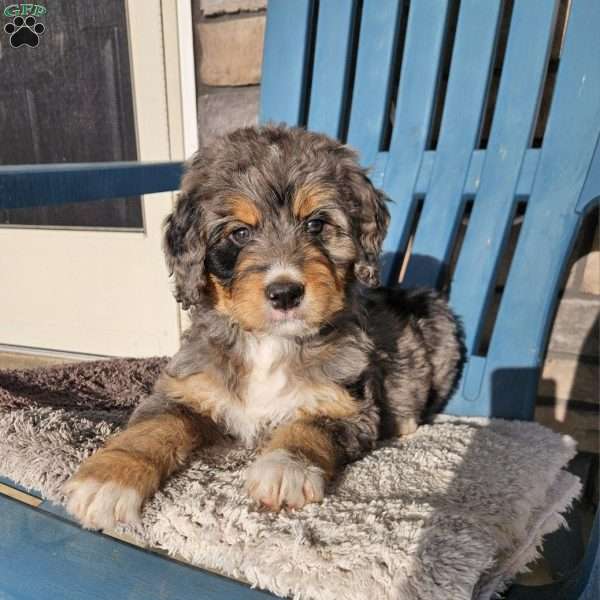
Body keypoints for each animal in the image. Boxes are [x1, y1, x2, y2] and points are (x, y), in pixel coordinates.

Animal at [62, 125, 464, 528]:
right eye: (239, 233)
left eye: (316, 224)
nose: (284, 293)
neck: (269, 343)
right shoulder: (185, 390)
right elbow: (150, 429)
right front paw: (108, 479)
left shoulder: (346, 405)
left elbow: (308, 427)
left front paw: (285, 469)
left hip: (439, 322)